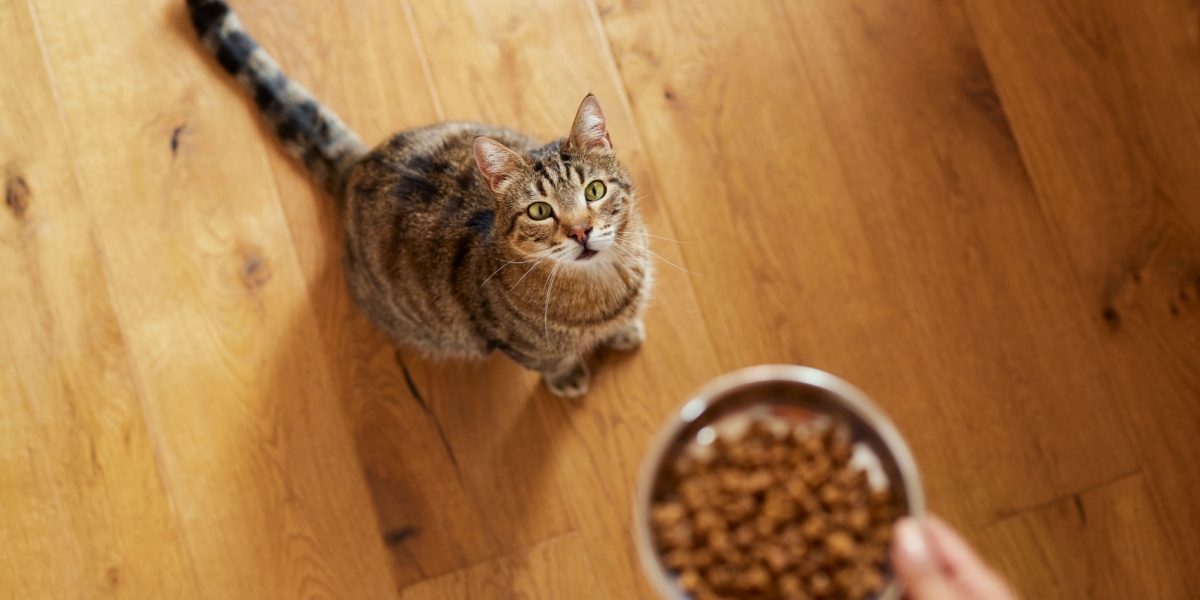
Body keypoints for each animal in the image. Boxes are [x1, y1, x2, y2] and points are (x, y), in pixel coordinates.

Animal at [186, 1, 652, 398]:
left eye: (594, 190)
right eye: (540, 211)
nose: (581, 231)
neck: (605, 285)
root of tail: (357, 165)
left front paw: (624, 331)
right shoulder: (515, 343)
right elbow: (551, 361)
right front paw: (569, 376)